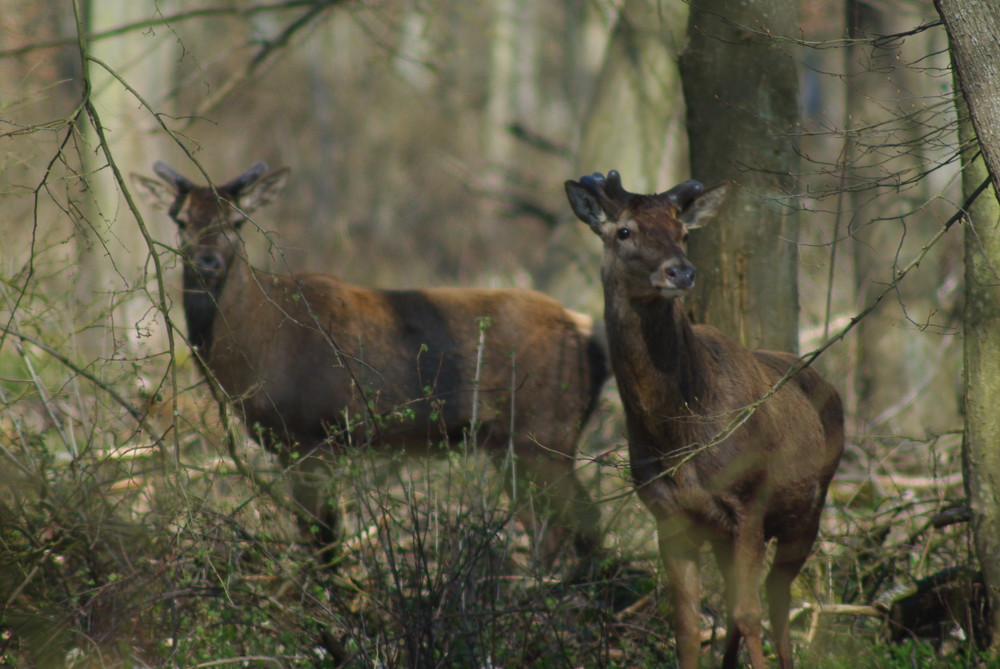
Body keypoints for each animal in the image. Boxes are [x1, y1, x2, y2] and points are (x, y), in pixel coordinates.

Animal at [133, 159, 608, 568]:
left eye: (237, 222)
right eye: (181, 220)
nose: (207, 262)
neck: (255, 354)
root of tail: (587, 333)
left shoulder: (315, 432)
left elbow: (324, 539)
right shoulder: (289, 444)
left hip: (542, 432)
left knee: (575, 523)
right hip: (512, 442)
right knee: (563, 525)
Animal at [564, 172, 844, 668]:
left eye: (683, 232)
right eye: (624, 231)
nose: (681, 271)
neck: (677, 433)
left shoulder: (750, 500)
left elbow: (749, 613)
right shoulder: (668, 514)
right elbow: (688, 628)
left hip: (807, 509)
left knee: (776, 599)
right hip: (727, 534)